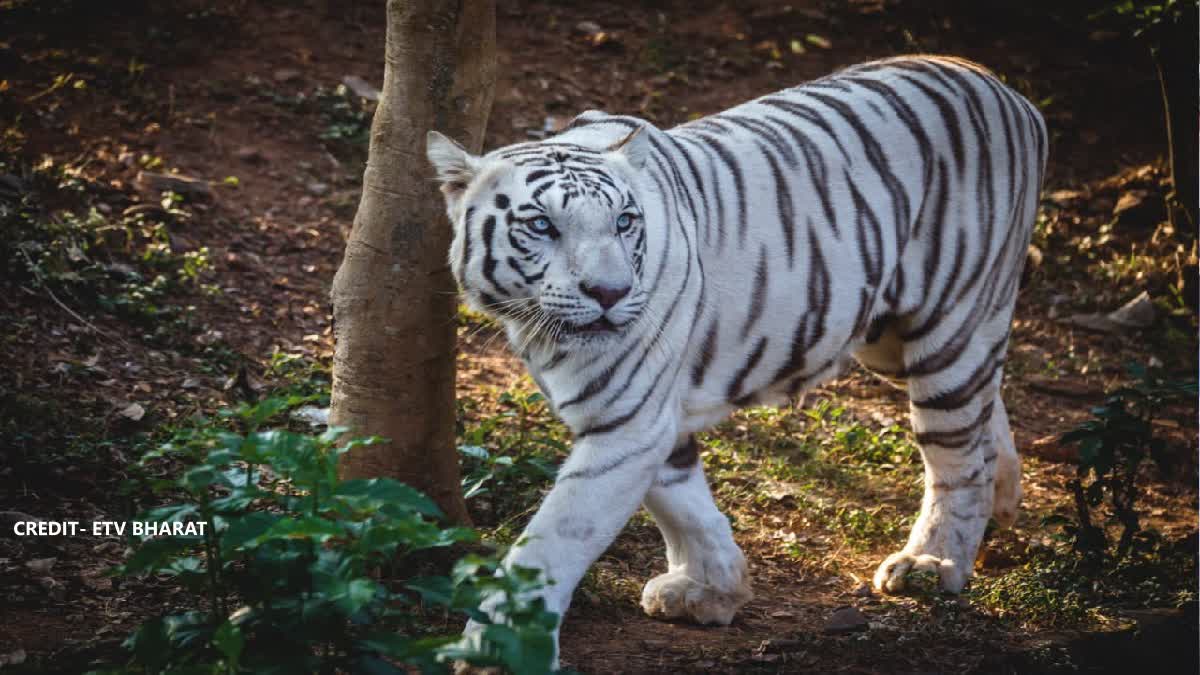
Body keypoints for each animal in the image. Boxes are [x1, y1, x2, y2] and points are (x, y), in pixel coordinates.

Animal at [427, 55, 1046, 658]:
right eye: (541, 225)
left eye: (624, 222)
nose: (610, 293)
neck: (534, 324)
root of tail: (1009, 93)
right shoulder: (650, 418)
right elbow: (681, 502)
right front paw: (712, 589)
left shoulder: (626, 422)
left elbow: (553, 541)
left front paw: (498, 648)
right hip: (890, 339)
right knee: (984, 411)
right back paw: (1002, 504)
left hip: (952, 320)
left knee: (957, 455)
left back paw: (933, 563)